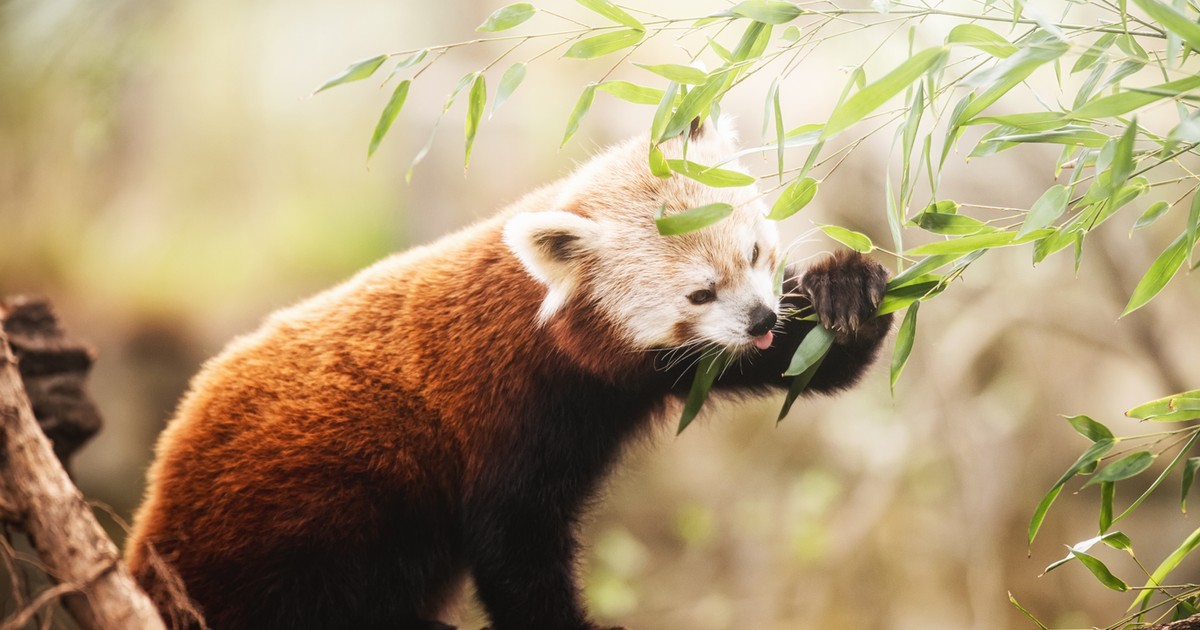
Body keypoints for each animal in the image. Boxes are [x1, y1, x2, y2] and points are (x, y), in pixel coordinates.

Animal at [125, 122, 892, 630]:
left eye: (757, 252)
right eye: (699, 293)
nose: (760, 317)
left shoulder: (648, 373)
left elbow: (799, 359)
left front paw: (843, 294)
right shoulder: (503, 410)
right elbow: (512, 545)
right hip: (305, 509)